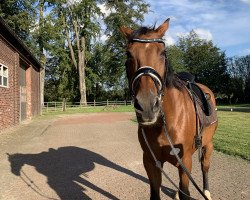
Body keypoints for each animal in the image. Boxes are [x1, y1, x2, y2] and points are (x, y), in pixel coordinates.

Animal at [120, 18, 217, 199]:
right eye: (128, 54)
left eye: (163, 53)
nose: (147, 105)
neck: (165, 123)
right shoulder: (151, 162)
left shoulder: (185, 161)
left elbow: (187, 191)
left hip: (208, 145)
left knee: (205, 167)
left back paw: (206, 191)